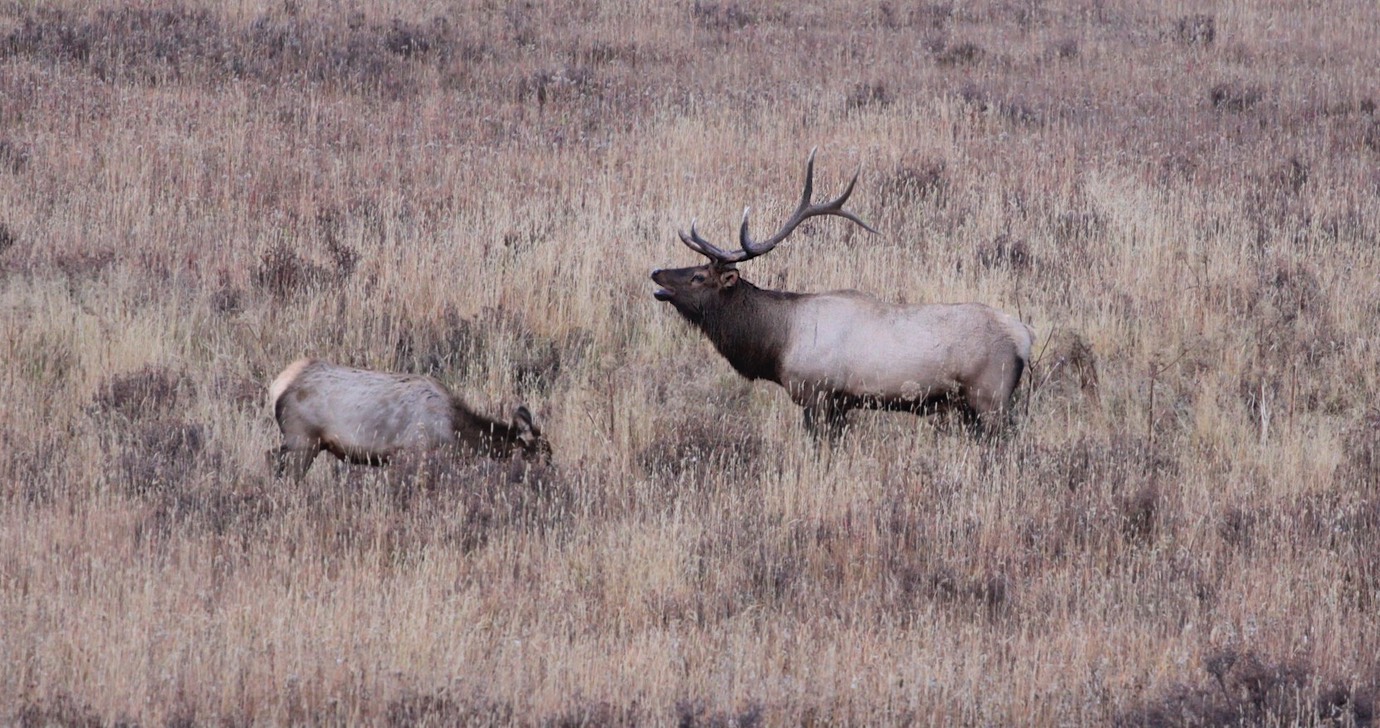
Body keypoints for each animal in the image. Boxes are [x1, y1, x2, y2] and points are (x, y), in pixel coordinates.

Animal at [266, 355, 552, 479]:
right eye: (541, 454)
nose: (551, 475)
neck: (456, 433)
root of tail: (278, 387)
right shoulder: (416, 450)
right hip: (303, 440)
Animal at [651, 149, 1032, 438]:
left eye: (698, 276)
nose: (657, 272)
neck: (777, 343)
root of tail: (1025, 336)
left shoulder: (818, 394)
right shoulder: (840, 403)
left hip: (990, 396)